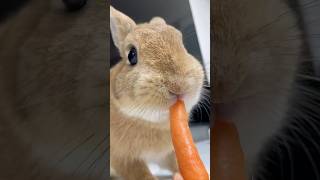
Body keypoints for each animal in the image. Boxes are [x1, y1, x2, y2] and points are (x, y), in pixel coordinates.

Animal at [110, 5, 205, 180]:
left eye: (181, 43)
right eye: (131, 55)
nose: (178, 85)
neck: (151, 122)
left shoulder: (166, 154)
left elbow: (174, 163)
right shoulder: (124, 159)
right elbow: (141, 175)